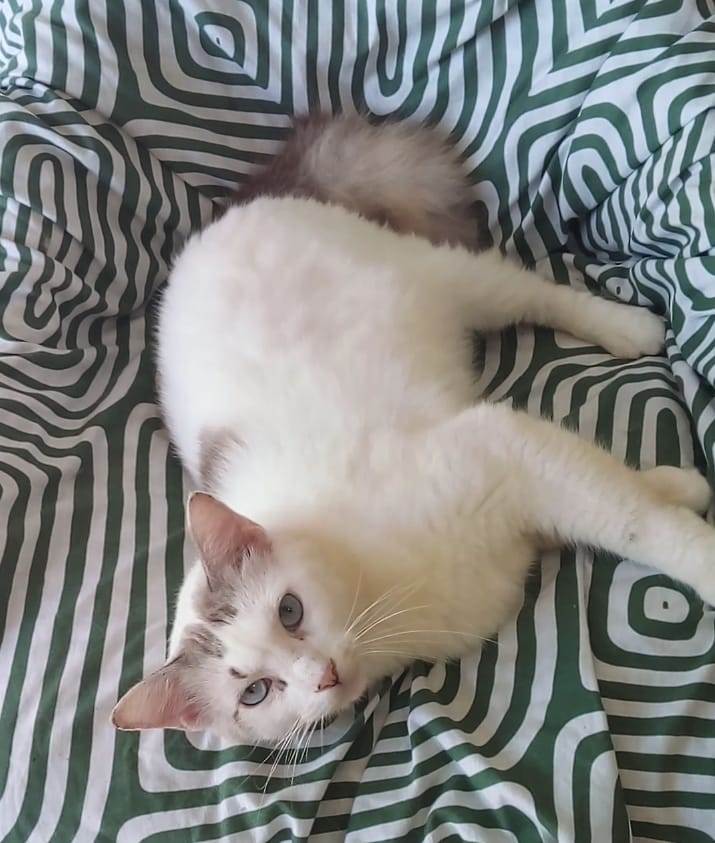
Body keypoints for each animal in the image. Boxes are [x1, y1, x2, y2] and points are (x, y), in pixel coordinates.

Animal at [112, 114, 715, 747]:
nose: (321, 676)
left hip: (449, 279)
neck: (388, 604)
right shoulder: (529, 481)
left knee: (533, 291)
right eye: (255, 693)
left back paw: (628, 326)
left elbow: (638, 523)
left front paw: (700, 548)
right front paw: (679, 484)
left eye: (289, 611)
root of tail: (226, 212)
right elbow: (616, 500)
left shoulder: (504, 448)